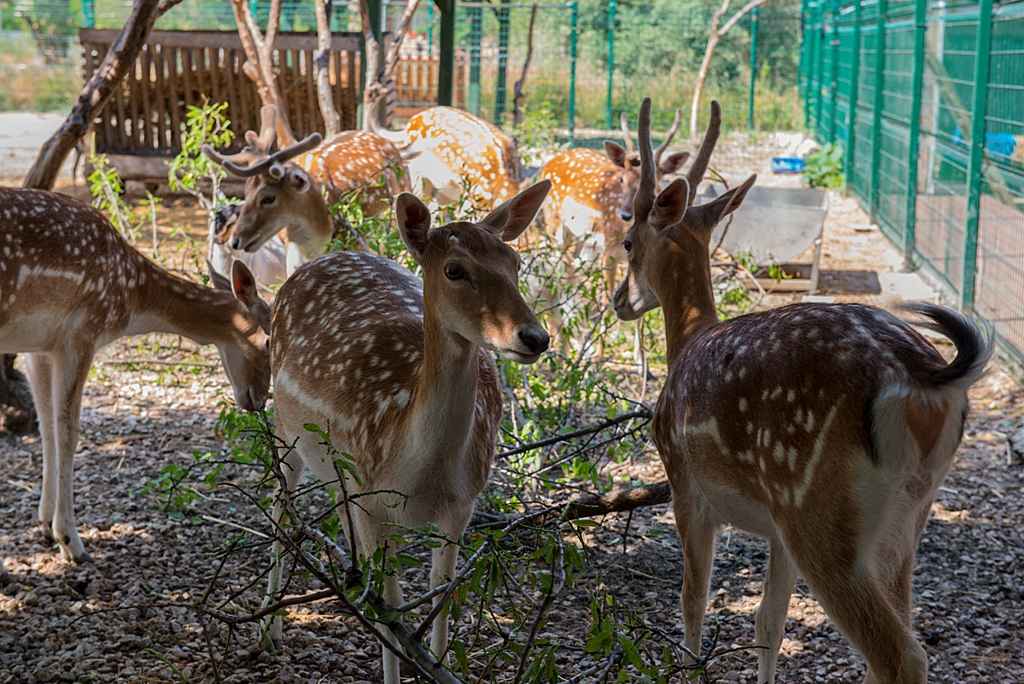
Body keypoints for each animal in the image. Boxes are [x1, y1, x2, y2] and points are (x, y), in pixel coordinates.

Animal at [0, 187, 272, 561]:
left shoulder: (39, 346)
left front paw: (45, 526)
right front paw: (72, 542)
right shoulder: (82, 332)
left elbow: (46, 428)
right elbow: (69, 432)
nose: (259, 399)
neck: (133, 299)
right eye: (269, 340)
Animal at [262, 180, 552, 679]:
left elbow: (444, 590)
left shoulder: (463, 502)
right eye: (454, 269)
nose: (534, 337)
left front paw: (437, 664)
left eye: (514, 263)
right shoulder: (374, 500)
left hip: (341, 473)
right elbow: (393, 605)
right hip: (287, 431)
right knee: (281, 507)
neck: (419, 471)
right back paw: (270, 629)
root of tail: (314, 262)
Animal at [610, 98, 995, 679]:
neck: (688, 339)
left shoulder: (685, 485)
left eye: (629, 240)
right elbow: (768, 621)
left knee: (900, 654)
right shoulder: (775, 530)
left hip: (816, 506)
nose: (618, 300)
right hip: (906, 516)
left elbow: (692, 601)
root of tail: (920, 379)